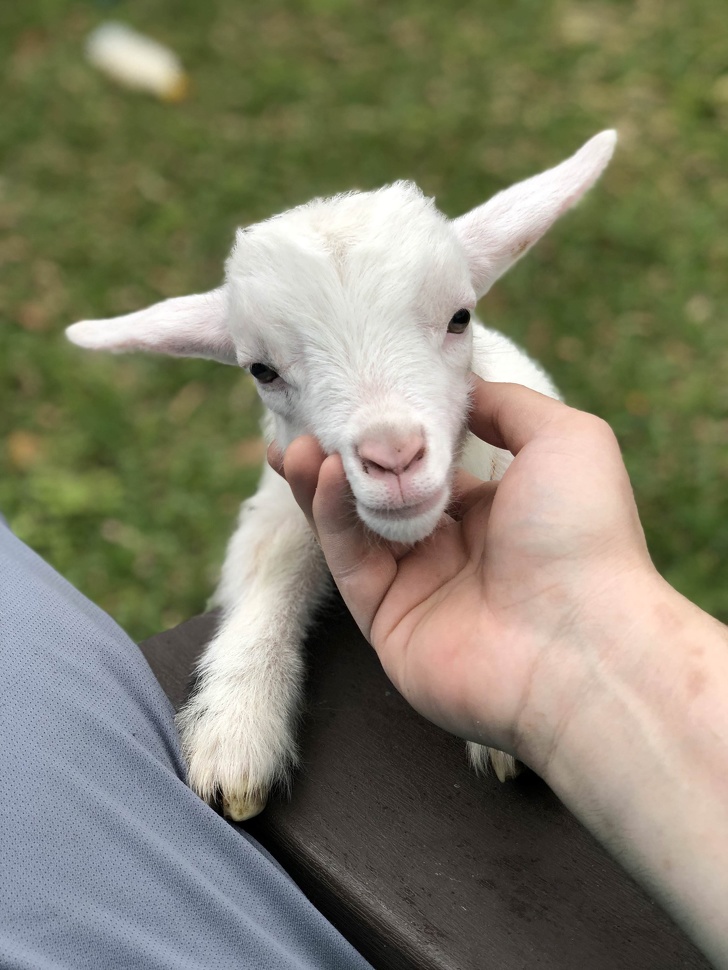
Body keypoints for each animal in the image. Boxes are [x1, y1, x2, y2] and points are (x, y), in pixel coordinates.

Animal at [67, 129, 616, 816]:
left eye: (460, 317)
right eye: (261, 370)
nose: (394, 457)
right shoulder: (281, 504)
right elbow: (273, 570)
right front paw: (238, 724)